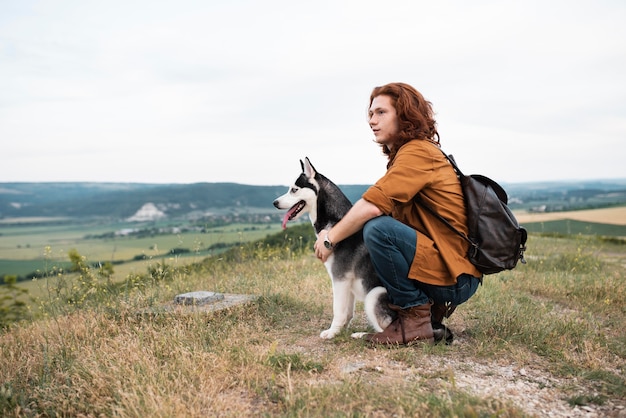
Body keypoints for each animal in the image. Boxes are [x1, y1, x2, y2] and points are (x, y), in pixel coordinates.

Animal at [272, 158, 392, 340]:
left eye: (294, 189)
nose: (275, 203)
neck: (335, 223)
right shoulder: (346, 282)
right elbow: (347, 312)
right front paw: (340, 330)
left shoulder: (340, 277)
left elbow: (338, 310)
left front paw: (332, 332)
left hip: (375, 294)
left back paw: (362, 335)